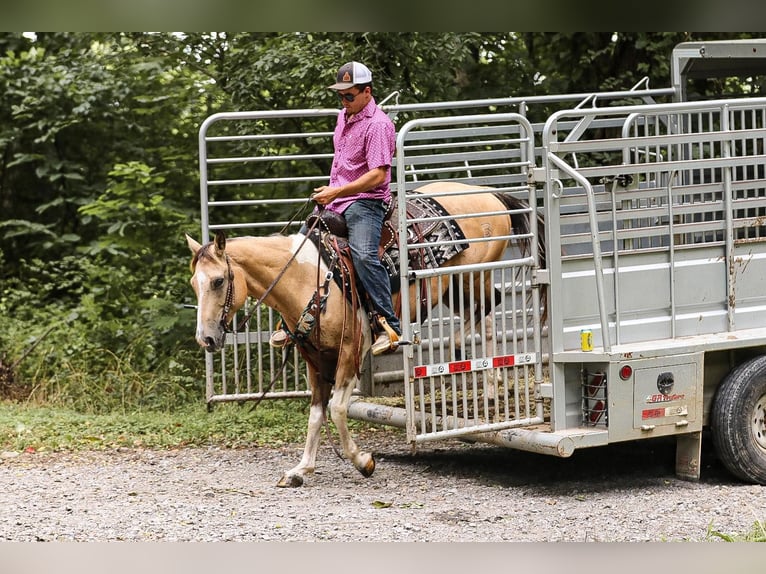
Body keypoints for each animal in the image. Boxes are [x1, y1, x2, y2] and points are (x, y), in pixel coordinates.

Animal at [186, 182, 544, 488]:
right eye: (194, 283)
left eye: (218, 281)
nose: (206, 338)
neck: (307, 278)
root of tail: (486, 193)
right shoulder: (313, 358)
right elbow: (316, 413)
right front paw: (301, 469)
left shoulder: (350, 351)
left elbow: (337, 409)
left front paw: (362, 461)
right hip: (455, 287)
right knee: (486, 316)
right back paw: (491, 388)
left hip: (472, 275)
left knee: (489, 306)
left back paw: (465, 359)